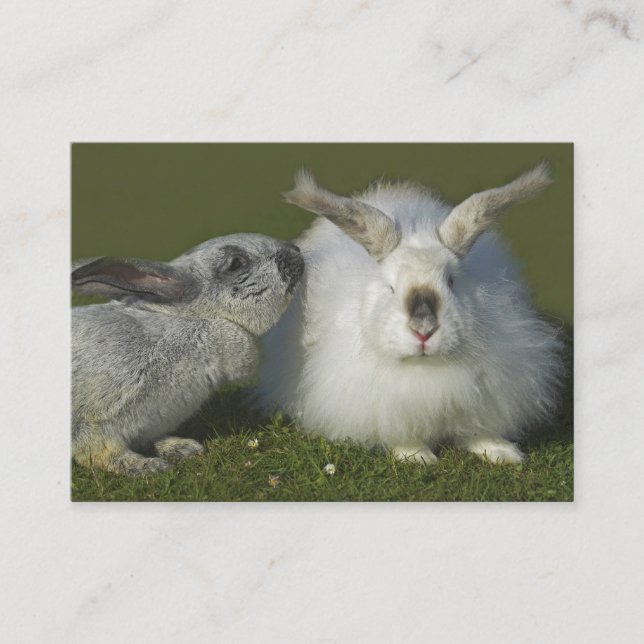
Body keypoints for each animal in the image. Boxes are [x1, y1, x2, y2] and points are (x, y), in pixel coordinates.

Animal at [72, 234, 304, 476]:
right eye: (236, 263)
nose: (296, 251)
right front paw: (147, 467)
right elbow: (101, 453)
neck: (186, 319)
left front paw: (182, 447)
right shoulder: (96, 420)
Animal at [255, 165, 564, 465]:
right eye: (391, 288)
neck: (426, 369)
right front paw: (417, 458)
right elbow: (402, 434)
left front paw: (504, 454)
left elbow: (478, 431)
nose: (424, 330)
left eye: (451, 281)